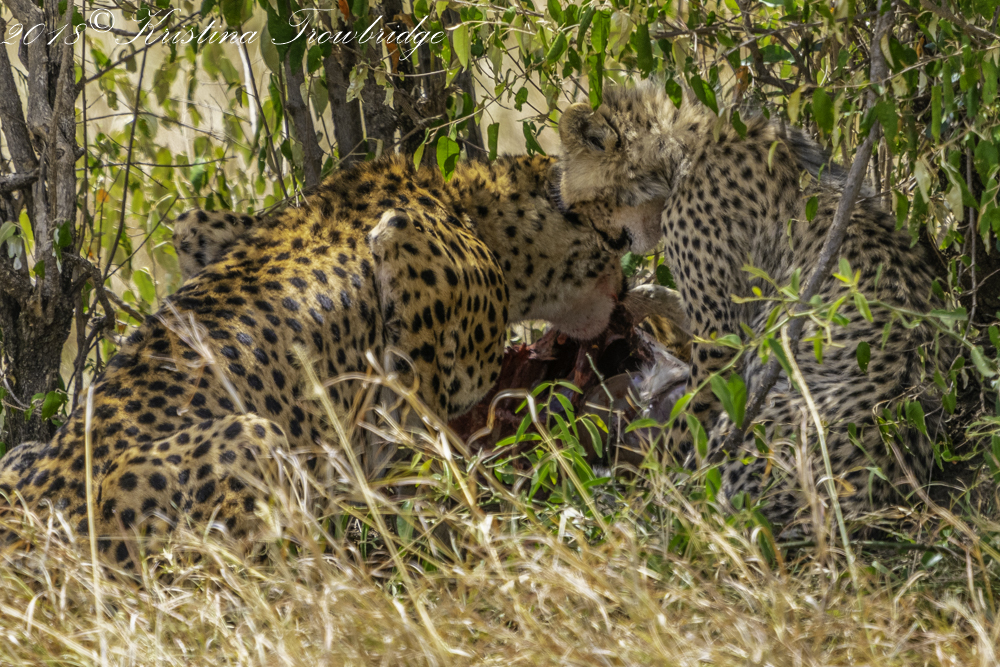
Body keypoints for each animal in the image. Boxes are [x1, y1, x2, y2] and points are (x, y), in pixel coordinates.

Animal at [0, 153, 637, 568]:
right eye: (618, 232)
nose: (630, 277)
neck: (469, 205)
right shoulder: (405, 241)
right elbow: (419, 423)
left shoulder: (204, 228)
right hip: (250, 441)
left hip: (22, 454)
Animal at [556, 81, 955, 530]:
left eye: (579, 208)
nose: (606, 246)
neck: (678, 150)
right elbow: (668, 300)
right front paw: (636, 300)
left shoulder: (721, 336)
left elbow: (690, 417)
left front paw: (659, 479)